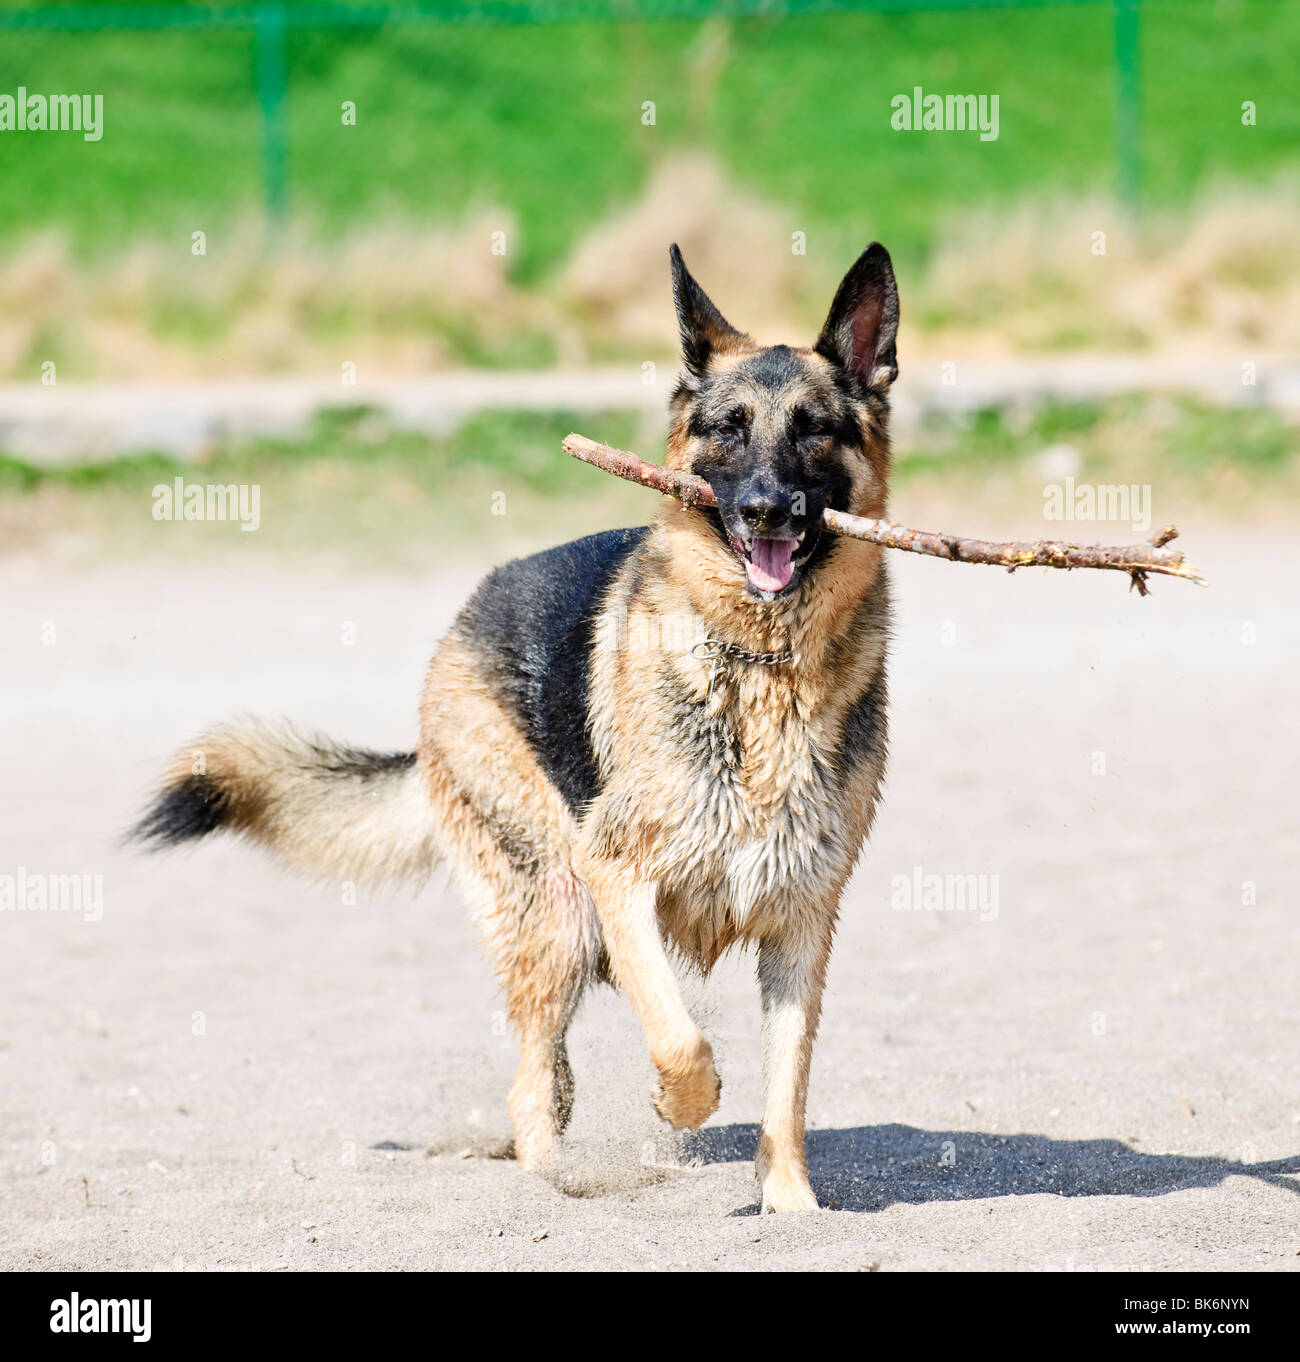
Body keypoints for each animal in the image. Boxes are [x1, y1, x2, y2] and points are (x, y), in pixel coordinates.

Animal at [136, 245, 899, 1214]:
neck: (763, 666)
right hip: (558, 909)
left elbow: (787, 1085)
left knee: (552, 1075)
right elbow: (680, 1037)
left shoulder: (802, 925)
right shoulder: (617, 876)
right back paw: (553, 1176)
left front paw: (790, 1201)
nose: (767, 508)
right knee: (533, 1080)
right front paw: (680, 1102)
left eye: (814, 430)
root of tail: (461, 620)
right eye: (728, 428)